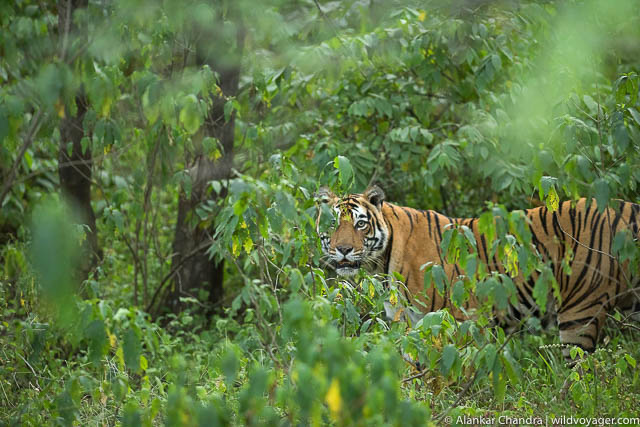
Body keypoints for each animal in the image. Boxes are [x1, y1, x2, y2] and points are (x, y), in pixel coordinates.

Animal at [316, 186, 640, 356]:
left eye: (360, 224)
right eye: (333, 224)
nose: (343, 249)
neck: (380, 263)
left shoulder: (458, 320)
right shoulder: (406, 321)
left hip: (580, 311)